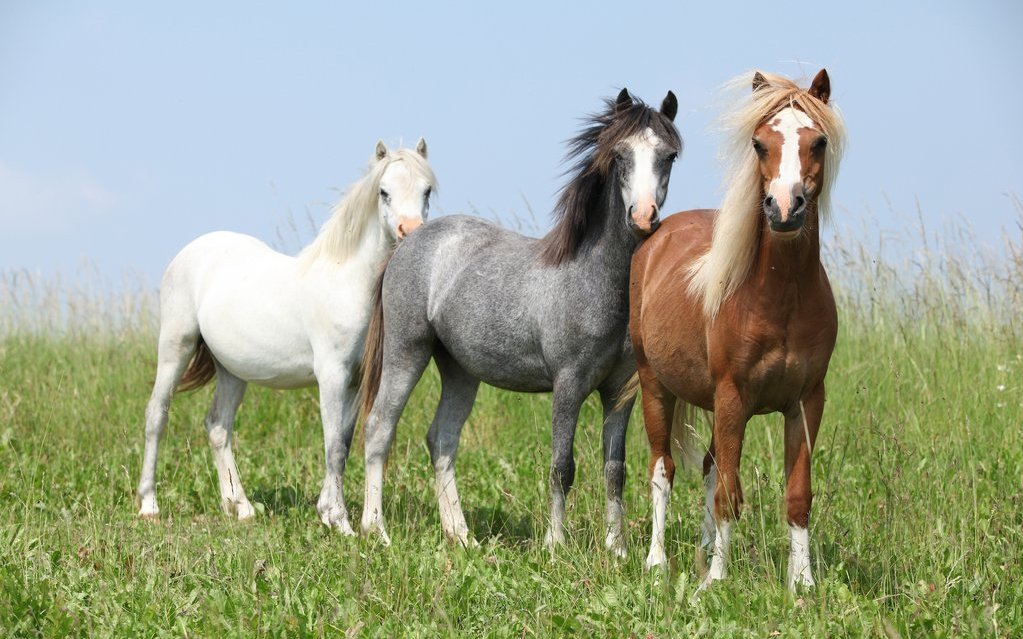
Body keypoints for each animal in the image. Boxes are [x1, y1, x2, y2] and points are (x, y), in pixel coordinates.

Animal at [137, 139, 435, 531]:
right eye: (383, 192)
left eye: (427, 190)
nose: (409, 231)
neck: (346, 282)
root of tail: (191, 250)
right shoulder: (332, 376)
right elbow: (332, 445)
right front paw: (340, 523)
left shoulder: (355, 381)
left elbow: (342, 443)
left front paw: (327, 512)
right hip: (176, 346)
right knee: (157, 414)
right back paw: (149, 504)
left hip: (231, 369)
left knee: (218, 427)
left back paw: (240, 506)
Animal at [360, 89, 679, 552]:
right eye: (620, 155)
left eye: (669, 155)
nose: (643, 217)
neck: (592, 279)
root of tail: (409, 242)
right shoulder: (568, 386)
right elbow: (562, 466)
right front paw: (555, 545)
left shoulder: (619, 392)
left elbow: (614, 471)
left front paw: (616, 549)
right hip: (406, 353)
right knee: (379, 428)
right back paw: (376, 530)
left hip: (459, 370)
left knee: (441, 440)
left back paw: (461, 536)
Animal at [626, 68, 842, 588]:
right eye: (759, 143)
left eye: (819, 141)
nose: (784, 209)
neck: (781, 300)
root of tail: (656, 235)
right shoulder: (733, 397)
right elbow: (728, 491)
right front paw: (716, 582)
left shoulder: (807, 402)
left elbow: (797, 496)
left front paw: (802, 584)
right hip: (656, 385)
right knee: (663, 469)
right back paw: (657, 563)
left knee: (707, 467)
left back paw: (703, 551)